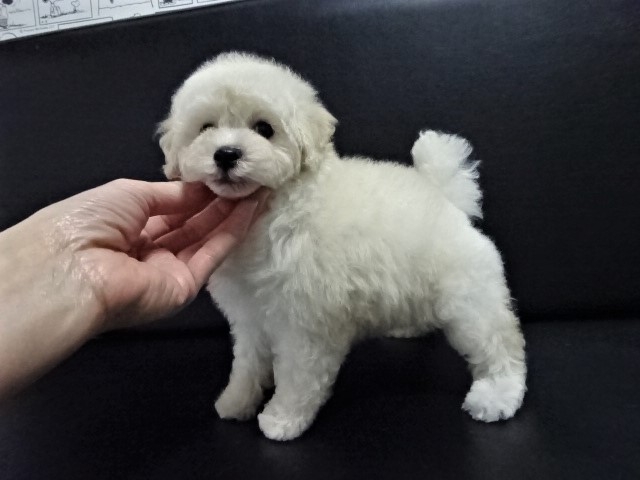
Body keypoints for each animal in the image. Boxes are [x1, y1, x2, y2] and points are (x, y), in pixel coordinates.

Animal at [158, 52, 526, 441]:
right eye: (205, 128)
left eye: (264, 129)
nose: (226, 154)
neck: (274, 209)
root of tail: (445, 197)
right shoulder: (250, 317)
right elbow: (247, 362)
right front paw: (237, 400)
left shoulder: (306, 323)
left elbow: (298, 376)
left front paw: (283, 419)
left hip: (468, 297)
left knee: (499, 342)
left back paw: (497, 396)